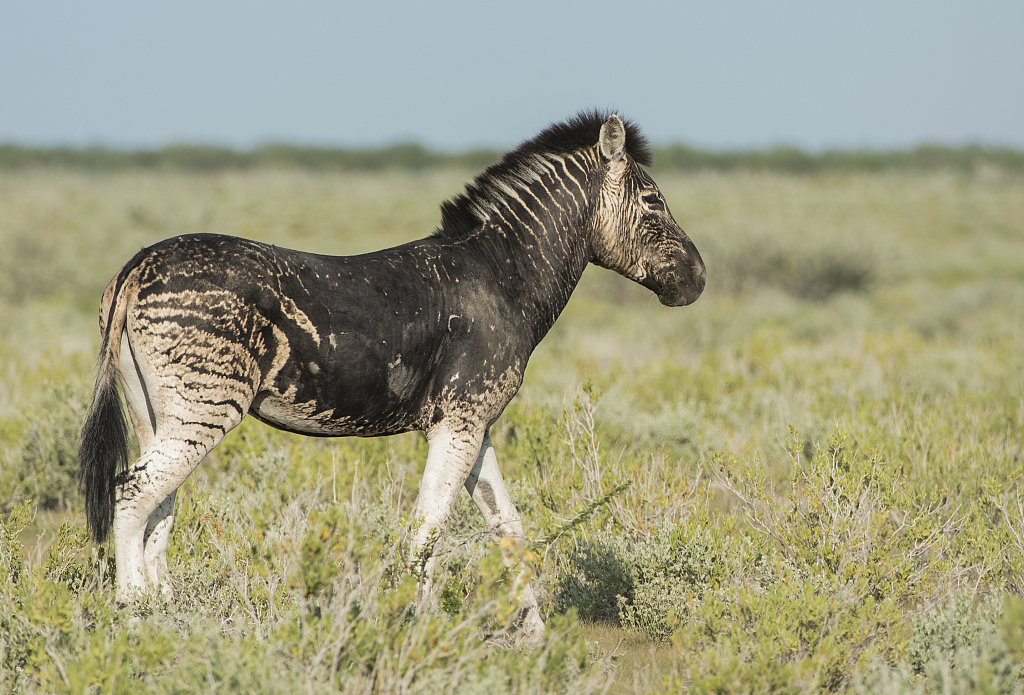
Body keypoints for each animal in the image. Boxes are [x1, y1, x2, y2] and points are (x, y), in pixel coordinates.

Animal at [78, 111, 705, 637]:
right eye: (652, 202)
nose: (698, 279)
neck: (504, 277)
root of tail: (138, 263)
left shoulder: (473, 425)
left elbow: (508, 527)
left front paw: (534, 638)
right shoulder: (459, 422)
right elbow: (427, 533)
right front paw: (416, 630)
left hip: (158, 409)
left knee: (158, 504)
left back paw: (169, 619)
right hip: (204, 405)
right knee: (133, 494)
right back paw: (134, 618)